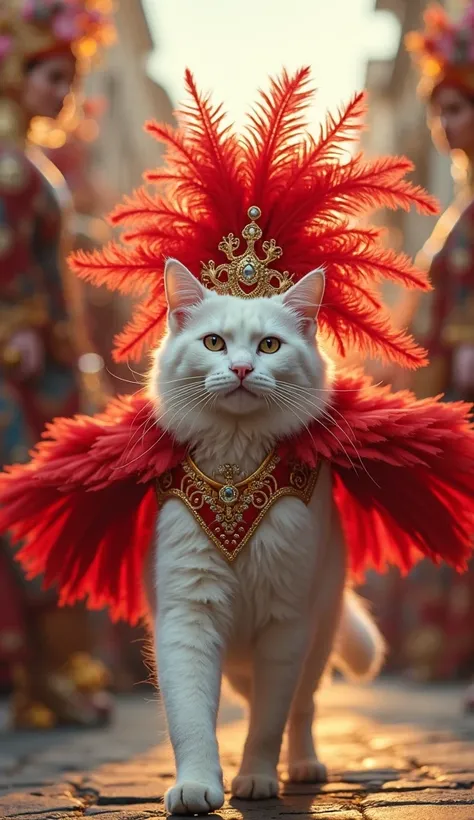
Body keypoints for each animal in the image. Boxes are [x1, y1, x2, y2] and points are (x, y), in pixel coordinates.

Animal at [148, 258, 386, 812]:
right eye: (214, 343)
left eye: (270, 346)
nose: (240, 369)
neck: (235, 477)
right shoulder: (188, 614)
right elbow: (191, 718)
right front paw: (197, 786)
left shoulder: (286, 623)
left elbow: (269, 723)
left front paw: (256, 778)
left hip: (318, 635)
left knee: (303, 708)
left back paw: (303, 766)